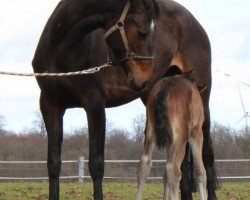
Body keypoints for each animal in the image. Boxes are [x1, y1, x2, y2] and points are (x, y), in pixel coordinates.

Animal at [137, 68, 207, 199]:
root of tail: (165, 88)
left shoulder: (169, 140)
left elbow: (164, 174)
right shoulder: (196, 132)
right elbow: (200, 171)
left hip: (150, 132)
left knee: (144, 165)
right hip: (181, 137)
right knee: (173, 170)